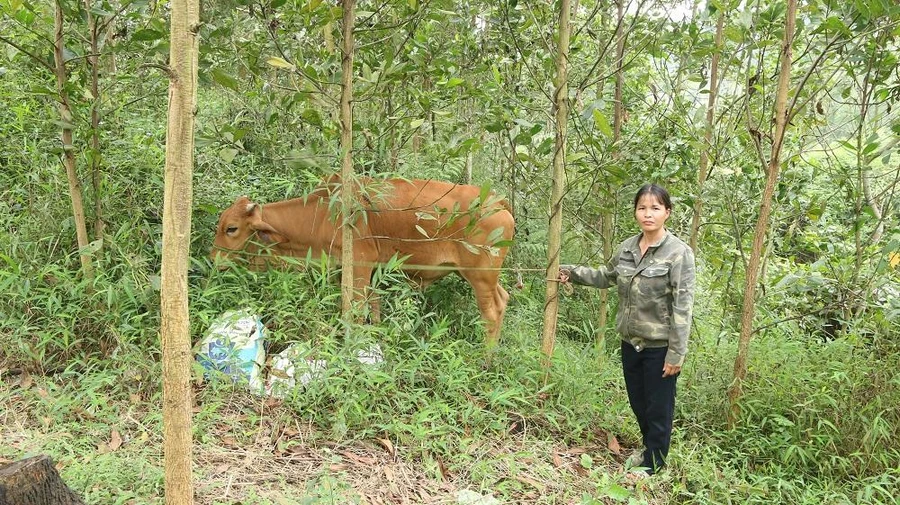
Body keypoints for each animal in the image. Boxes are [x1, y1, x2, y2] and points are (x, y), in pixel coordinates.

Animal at [210, 176, 512, 346]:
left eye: (231, 228)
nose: (214, 260)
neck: (324, 215)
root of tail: (499, 202)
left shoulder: (359, 267)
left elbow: (354, 312)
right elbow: (373, 309)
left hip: (480, 275)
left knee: (492, 312)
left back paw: (486, 358)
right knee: (504, 298)